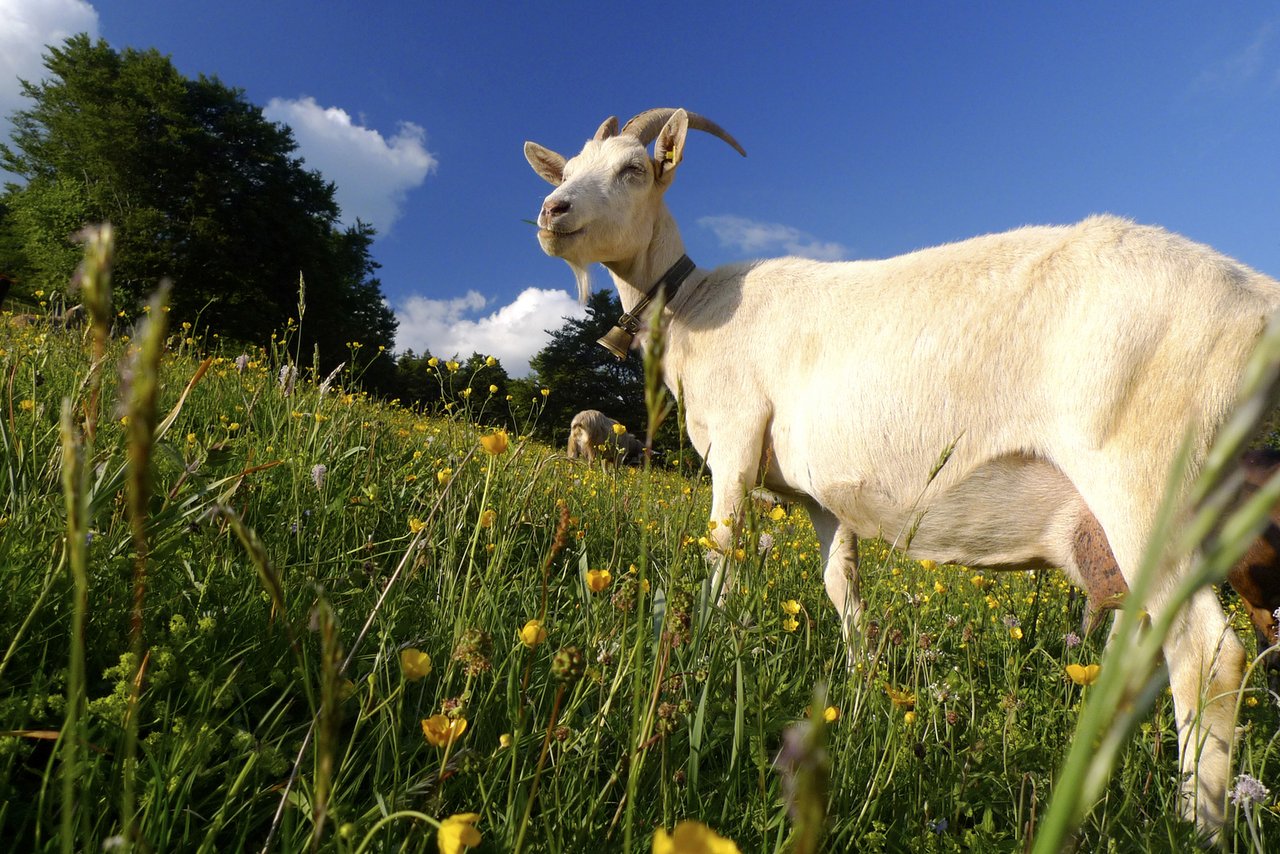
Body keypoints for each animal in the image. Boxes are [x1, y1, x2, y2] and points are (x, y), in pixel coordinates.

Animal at [524, 108, 1280, 834]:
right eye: (571, 167)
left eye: (632, 170)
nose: (552, 212)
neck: (693, 308)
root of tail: (1260, 297)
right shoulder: (819, 499)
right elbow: (843, 591)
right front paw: (861, 697)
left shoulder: (737, 437)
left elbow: (723, 552)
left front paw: (701, 659)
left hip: (1145, 478)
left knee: (1208, 654)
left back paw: (1194, 824)